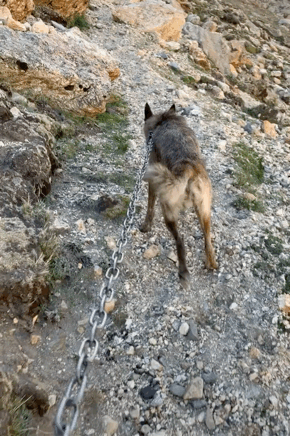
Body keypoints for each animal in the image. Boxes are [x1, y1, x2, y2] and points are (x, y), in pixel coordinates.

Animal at [140, 102, 218, 286]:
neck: (163, 120)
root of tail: (189, 167)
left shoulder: (153, 183)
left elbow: (149, 208)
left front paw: (145, 227)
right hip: (204, 211)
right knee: (208, 242)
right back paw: (211, 264)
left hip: (168, 211)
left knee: (180, 240)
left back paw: (183, 272)